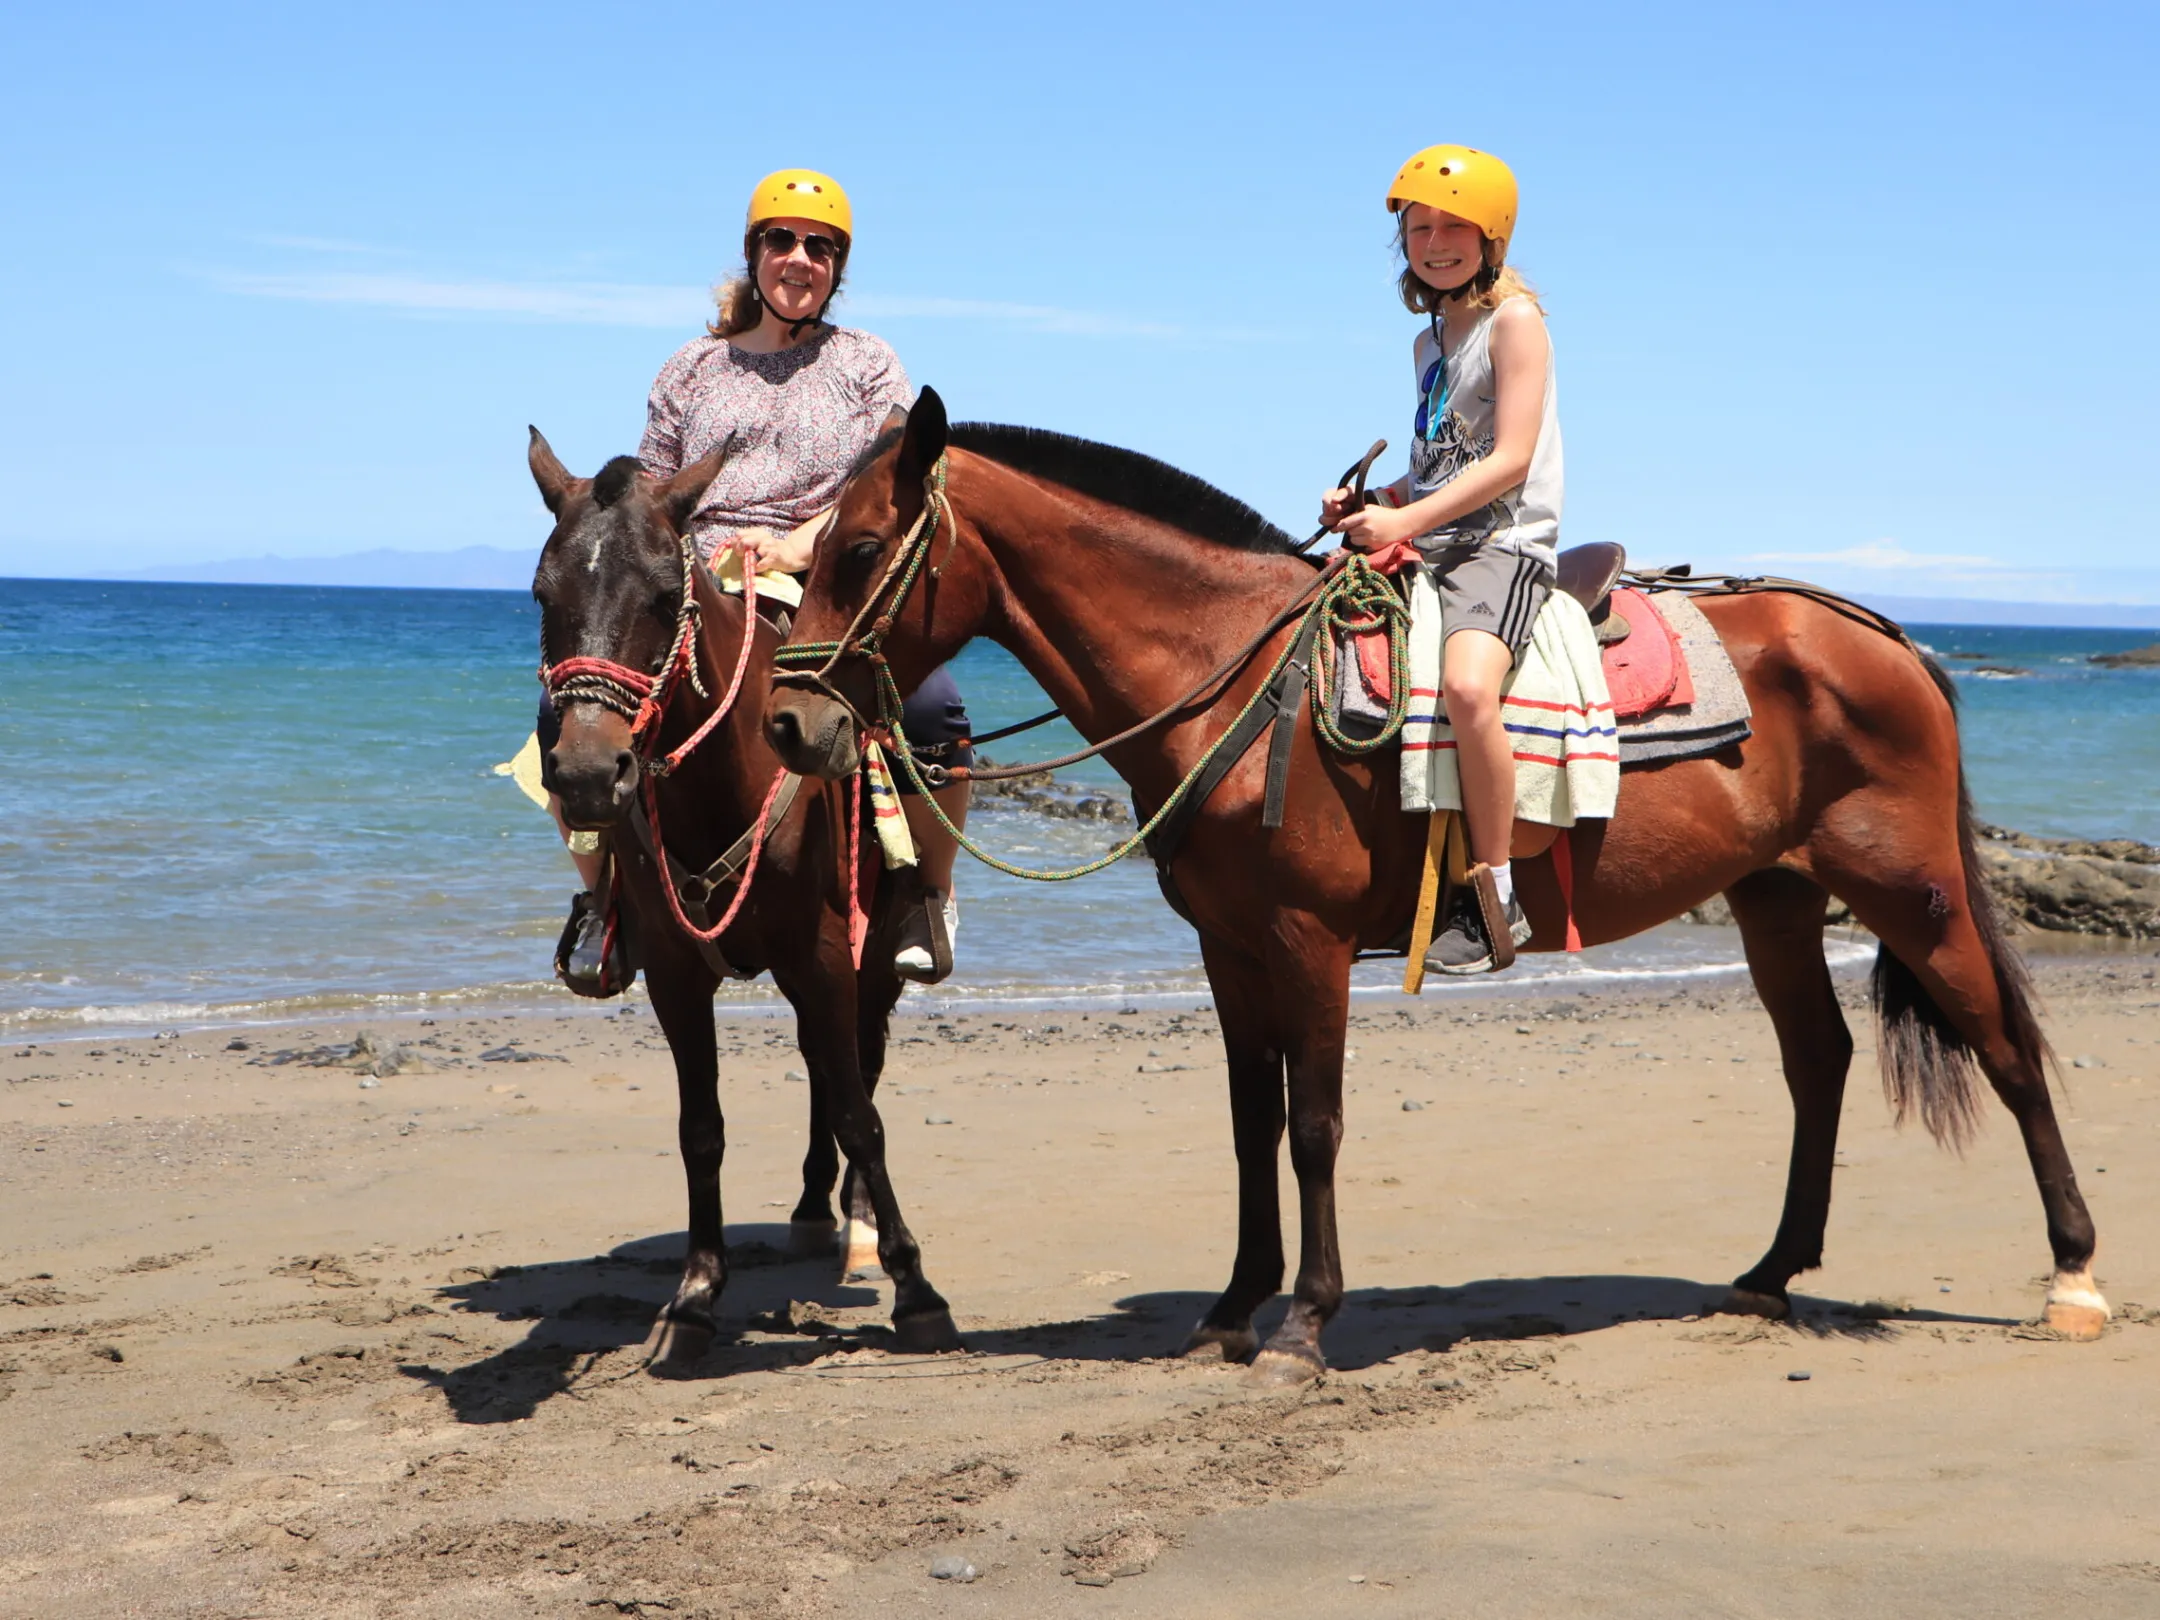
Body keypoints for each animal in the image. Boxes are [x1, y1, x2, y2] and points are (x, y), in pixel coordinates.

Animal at [526, 429, 960, 1364]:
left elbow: (862, 1114)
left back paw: (855, 1222)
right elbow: (701, 1129)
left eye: (664, 596)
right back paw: (809, 1209)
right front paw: (694, 1297)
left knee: (857, 1068)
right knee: (823, 1068)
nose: (588, 775)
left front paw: (916, 1289)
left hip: (874, 963)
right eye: (543, 592)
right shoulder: (674, 974)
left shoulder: (825, 955)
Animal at [761, 387, 2108, 1387]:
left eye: (863, 550)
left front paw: (1305, 1324)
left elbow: (1313, 1126)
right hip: (1776, 894)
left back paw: (2073, 1275)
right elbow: (1250, 1127)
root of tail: (1886, 635)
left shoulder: (1304, 942)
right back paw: (1773, 1271)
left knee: (2006, 1049)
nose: (785, 722)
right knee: (1817, 1062)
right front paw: (1233, 1307)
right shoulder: (1229, 950)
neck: (1230, 673)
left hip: (1913, 889)